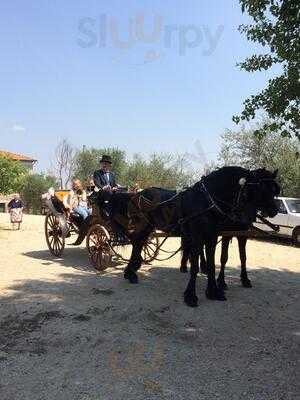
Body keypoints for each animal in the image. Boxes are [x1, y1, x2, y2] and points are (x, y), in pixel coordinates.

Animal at [123, 166, 280, 306]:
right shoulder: (198, 236)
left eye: (274, 190)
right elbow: (195, 267)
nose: (274, 210)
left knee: (139, 242)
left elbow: (213, 264)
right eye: (262, 188)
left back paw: (131, 270)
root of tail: (137, 194)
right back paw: (131, 272)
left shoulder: (213, 236)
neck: (207, 201)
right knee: (137, 241)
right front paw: (191, 296)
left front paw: (213, 291)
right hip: (143, 225)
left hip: (149, 226)